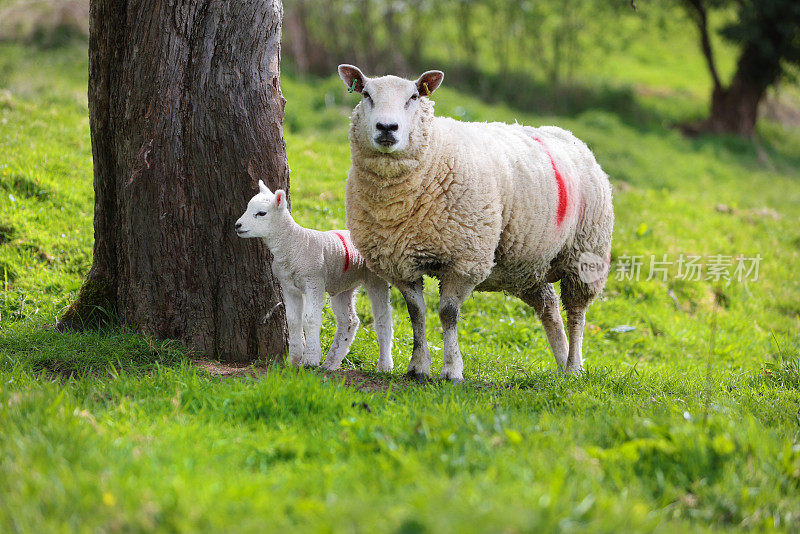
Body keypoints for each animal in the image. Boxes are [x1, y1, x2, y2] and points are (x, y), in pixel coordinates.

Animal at [234, 180, 394, 372]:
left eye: (261, 213)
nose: (237, 225)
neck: (293, 244)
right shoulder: (288, 286)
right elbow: (293, 320)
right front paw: (295, 359)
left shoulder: (314, 281)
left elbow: (310, 319)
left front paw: (310, 359)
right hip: (343, 284)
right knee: (349, 321)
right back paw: (331, 362)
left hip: (376, 279)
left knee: (383, 319)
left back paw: (385, 366)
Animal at [338, 65, 612, 384]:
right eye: (366, 95)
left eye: (414, 97)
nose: (386, 127)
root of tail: (567, 135)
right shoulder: (399, 262)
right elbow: (416, 312)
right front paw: (418, 367)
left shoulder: (465, 259)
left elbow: (448, 313)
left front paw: (452, 370)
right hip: (528, 265)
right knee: (550, 308)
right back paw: (561, 361)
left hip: (585, 254)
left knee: (577, 312)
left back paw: (574, 367)